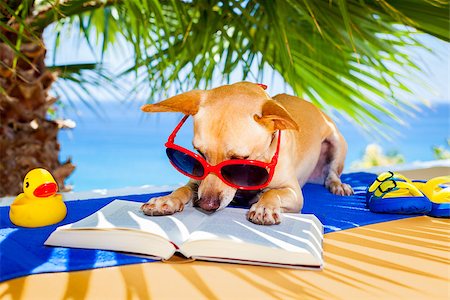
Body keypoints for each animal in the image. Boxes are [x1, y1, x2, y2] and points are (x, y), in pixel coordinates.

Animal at [141, 81, 352, 224]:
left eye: (240, 159)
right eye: (199, 153)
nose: (206, 205)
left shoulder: (293, 192)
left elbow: (273, 192)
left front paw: (265, 206)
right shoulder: (197, 181)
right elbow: (183, 189)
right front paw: (167, 199)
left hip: (337, 143)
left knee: (332, 173)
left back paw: (337, 185)